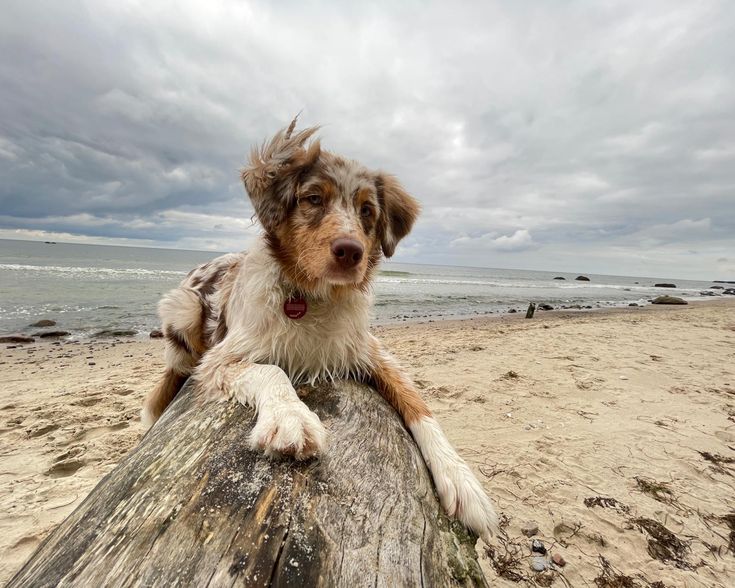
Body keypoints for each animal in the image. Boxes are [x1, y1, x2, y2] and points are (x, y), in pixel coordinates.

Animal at [141, 119, 500, 544]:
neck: (311, 297)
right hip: (182, 306)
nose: (350, 252)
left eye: (367, 210)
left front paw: (461, 480)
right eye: (313, 198)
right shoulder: (220, 359)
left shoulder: (369, 348)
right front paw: (290, 418)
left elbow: (419, 404)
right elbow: (270, 370)